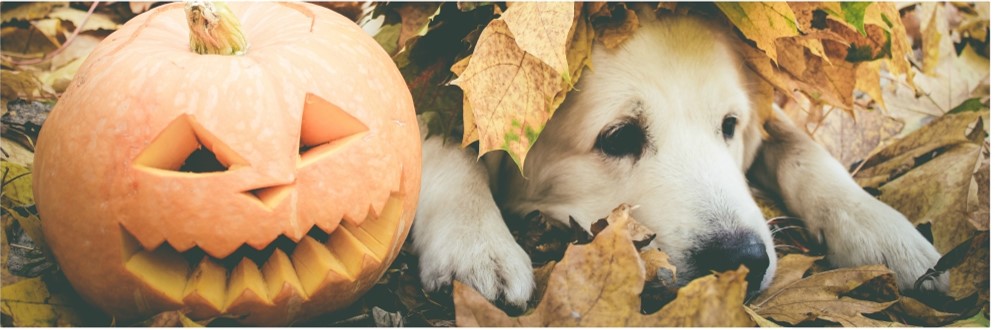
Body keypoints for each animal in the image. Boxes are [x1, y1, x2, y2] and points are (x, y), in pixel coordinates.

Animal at [406, 11, 948, 308]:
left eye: (729, 125)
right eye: (619, 137)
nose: (742, 260)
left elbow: (803, 149)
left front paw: (879, 228)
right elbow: (446, 139)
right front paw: (475, 239)